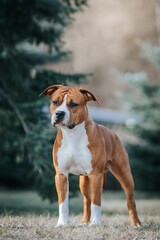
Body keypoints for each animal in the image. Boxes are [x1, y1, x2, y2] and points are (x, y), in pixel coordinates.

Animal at [39, 84, 141, 227]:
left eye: (73, 104)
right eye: (55, 102)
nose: (59, 113)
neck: (72, 134)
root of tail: (113, 133)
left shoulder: (95, 175)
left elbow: (96, 202)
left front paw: (96, 223)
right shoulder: (61, 175)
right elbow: (63, 202)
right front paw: (62, 223)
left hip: (124, 175)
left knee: (130, 200)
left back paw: (136, 223)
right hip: (83, 181)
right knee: (86, 200)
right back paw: (84, 222)